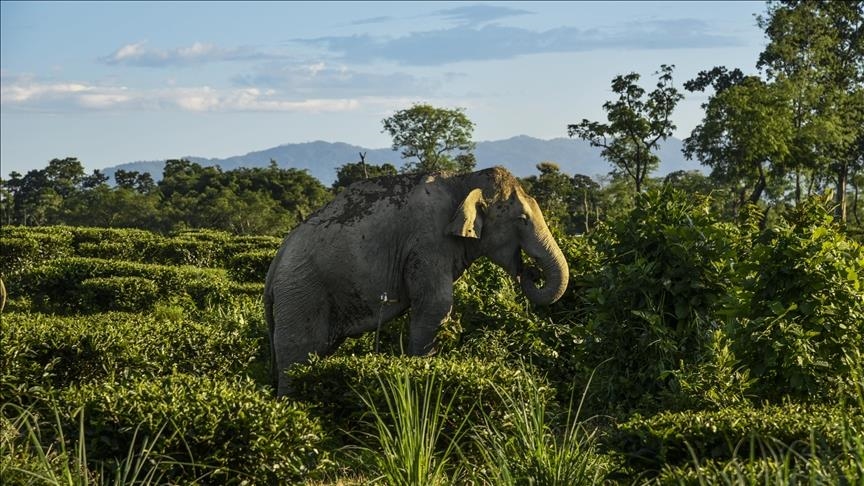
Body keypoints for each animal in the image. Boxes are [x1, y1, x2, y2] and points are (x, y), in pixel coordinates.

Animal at [264, 166, 569, 396]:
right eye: (522, 219)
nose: (530, 272)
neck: (463, 180)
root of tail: (274, 266)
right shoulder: (428, 242)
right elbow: (436, 306)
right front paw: (423, 369)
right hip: (301, 293)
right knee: (299, 353)